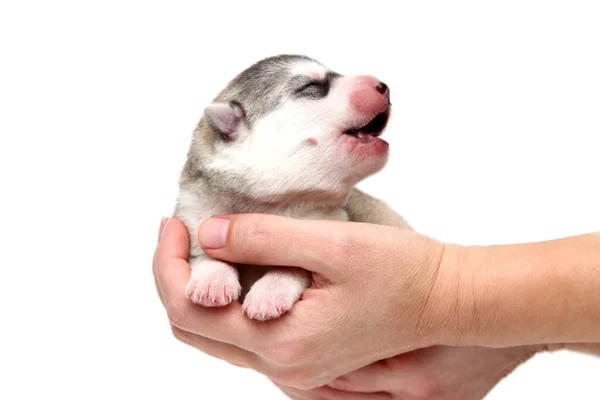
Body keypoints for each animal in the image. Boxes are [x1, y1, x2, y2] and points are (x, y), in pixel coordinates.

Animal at [171, 54, 410, 322]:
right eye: (311, 87)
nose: (383, 86)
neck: (272, 202)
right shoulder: (195, 213)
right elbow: (202, 252)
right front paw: (213, 278)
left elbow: (294, 266)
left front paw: (271, 290)